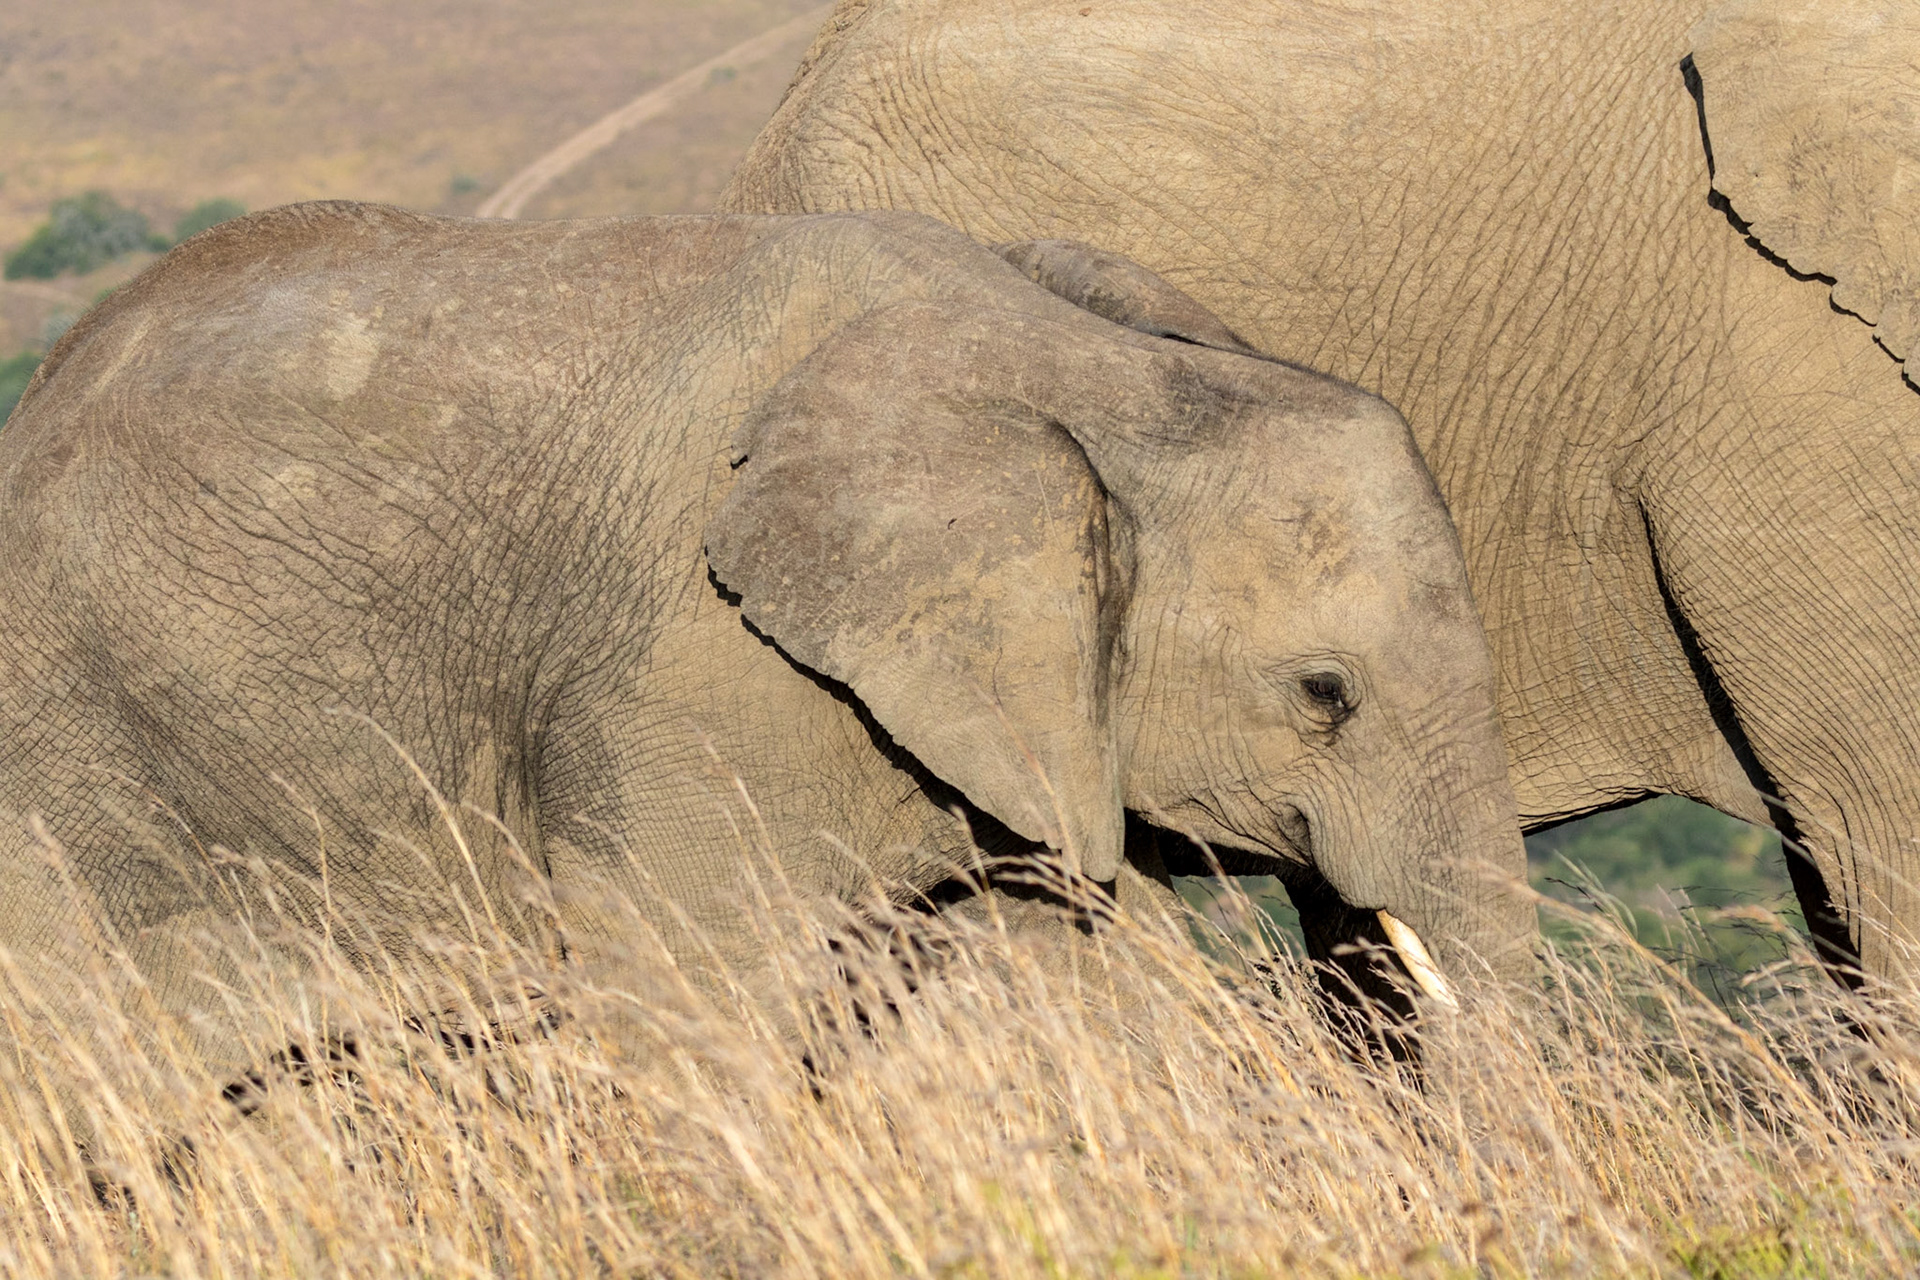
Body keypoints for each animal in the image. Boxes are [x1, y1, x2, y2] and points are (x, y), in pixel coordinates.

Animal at [0, 203, 1529, 1072]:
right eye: (1323, 692)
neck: (1088, 372)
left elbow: (1076, 971)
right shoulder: (684, 664)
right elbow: (691, 995)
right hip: (57, 752)